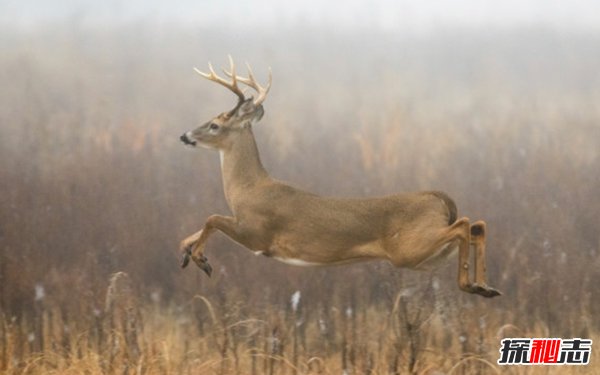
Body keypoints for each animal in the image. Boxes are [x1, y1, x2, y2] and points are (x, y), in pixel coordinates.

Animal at [178, 55, 502, 298]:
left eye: (215, 124)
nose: (184, 136)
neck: (247, 190)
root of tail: (439, 197)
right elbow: (196, 229)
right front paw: (187, 252)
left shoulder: (258, 234)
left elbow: (212, 218)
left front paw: (202, 260)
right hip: (428, 255)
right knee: (478, 225)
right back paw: (485, 286)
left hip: (409, 248)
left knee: (465, 224)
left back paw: (471, 284)